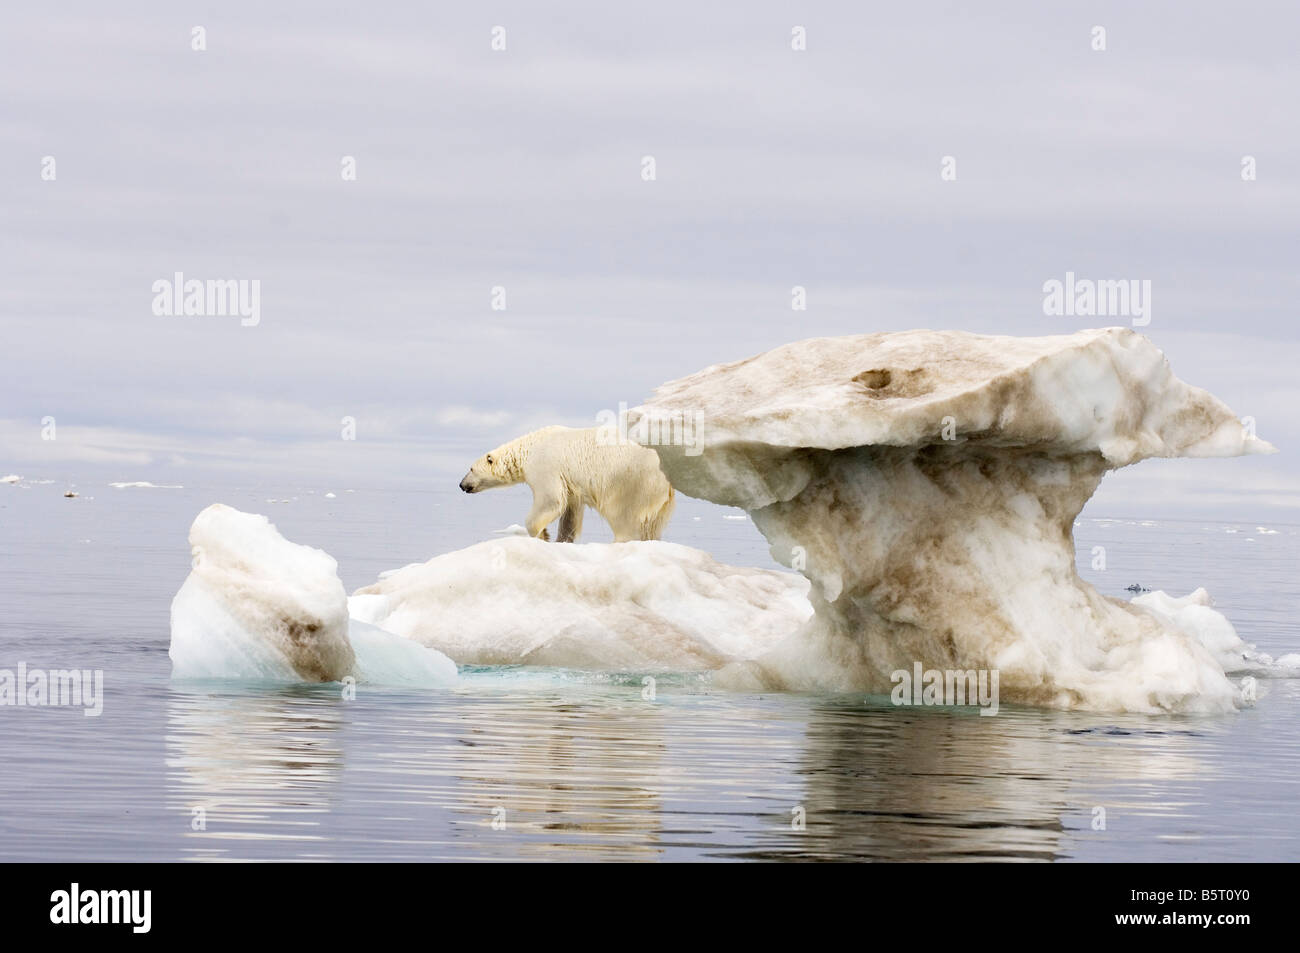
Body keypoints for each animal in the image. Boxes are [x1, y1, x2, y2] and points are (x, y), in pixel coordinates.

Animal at [458, 426, 675, 543]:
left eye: (471, 468)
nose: (461, 484)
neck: (528, 448)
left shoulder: (546, 466)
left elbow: (550, 500)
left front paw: (542, 534)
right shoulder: (571, 485)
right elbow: (570, 513)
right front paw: (560, 539)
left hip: (632, 483)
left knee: (623, 516)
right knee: (653, 525)